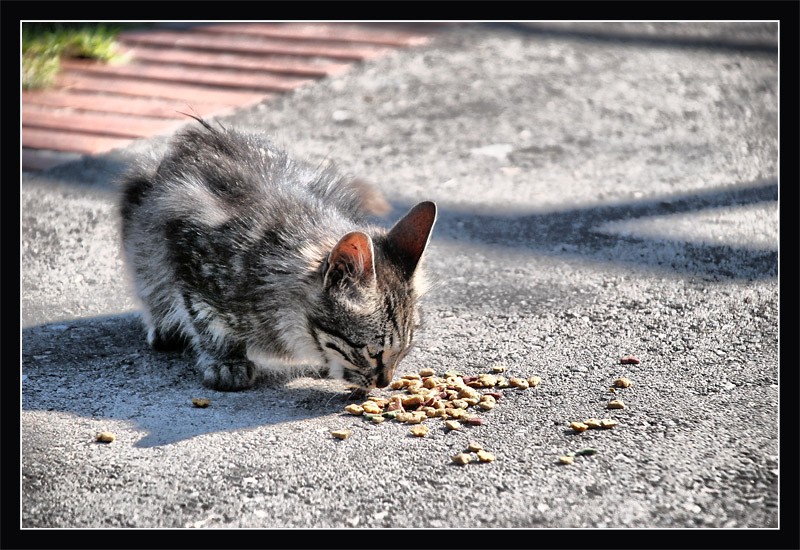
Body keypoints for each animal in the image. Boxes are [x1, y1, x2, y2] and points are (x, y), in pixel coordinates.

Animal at [117, 121, 438, 396]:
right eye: (372, 352)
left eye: (405, 351)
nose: (385, 383)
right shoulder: (190, 258)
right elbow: (206, 321)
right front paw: (226, 362)